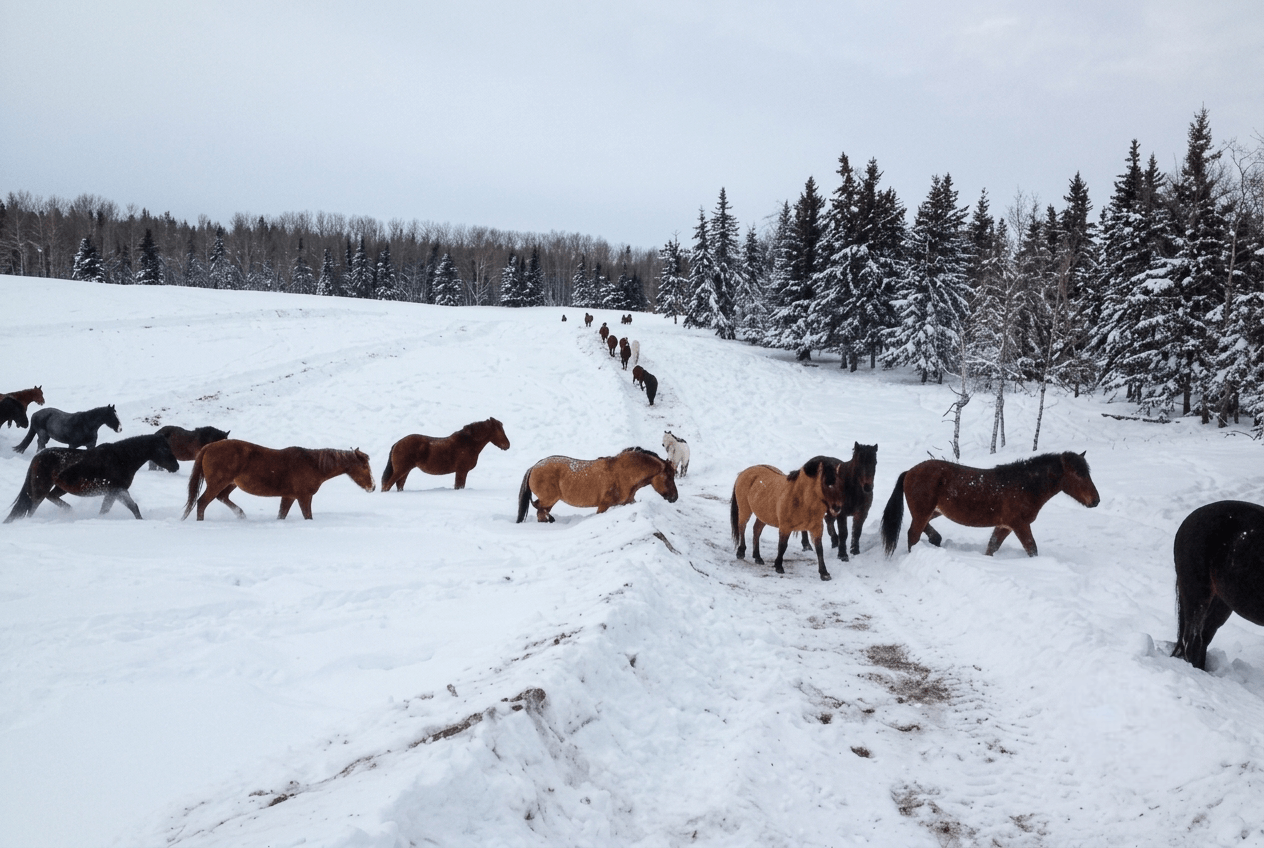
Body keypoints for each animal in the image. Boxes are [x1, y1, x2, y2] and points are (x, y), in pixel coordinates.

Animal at [5, 434, 179, 522]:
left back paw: (69, 511)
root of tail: (37, 457)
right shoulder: (114, 490)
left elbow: (133, 507)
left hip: (59, 487)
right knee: (32, 508)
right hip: (41, 487)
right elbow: (105, 510)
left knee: (50, 498)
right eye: (164, 449)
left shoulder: (119, 490)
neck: (122, 458)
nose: (176, 467)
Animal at [183, 439, 375, 520]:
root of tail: (208, 447)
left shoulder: (288, 496)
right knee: (202, 502)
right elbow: (308, 516)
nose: (372, 487)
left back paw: (241, 515)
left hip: (230, 484)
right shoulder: (304, 497)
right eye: (365, 467)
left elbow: (281, 515)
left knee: (221, 498)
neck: (314, 464)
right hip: (218, 483)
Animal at [381, 417, 510, 491]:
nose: (507, 445)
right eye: (499, 430)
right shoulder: (461, 471)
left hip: (405, 471)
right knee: (387, 486)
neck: (468, 442)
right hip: (400, 470)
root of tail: (397, 443)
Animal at [516, 447, 678, 523]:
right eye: (669, 476)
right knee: (539, 509)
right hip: (549, 499)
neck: (624, 473)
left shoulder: (628, 502)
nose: (675, 498)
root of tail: (534, 467)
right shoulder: (603, 505)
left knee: (540, 510)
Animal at [880, 451, 1100, 558]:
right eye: (1078, 474)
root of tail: (910, 472)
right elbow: (1032, 549)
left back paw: (936, 539)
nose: (1096, 501)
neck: (1024, 484)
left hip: (933, 511)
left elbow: (992, 547)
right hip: (924, 511)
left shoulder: (1004, 526)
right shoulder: (1020, 525)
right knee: (913, 534)